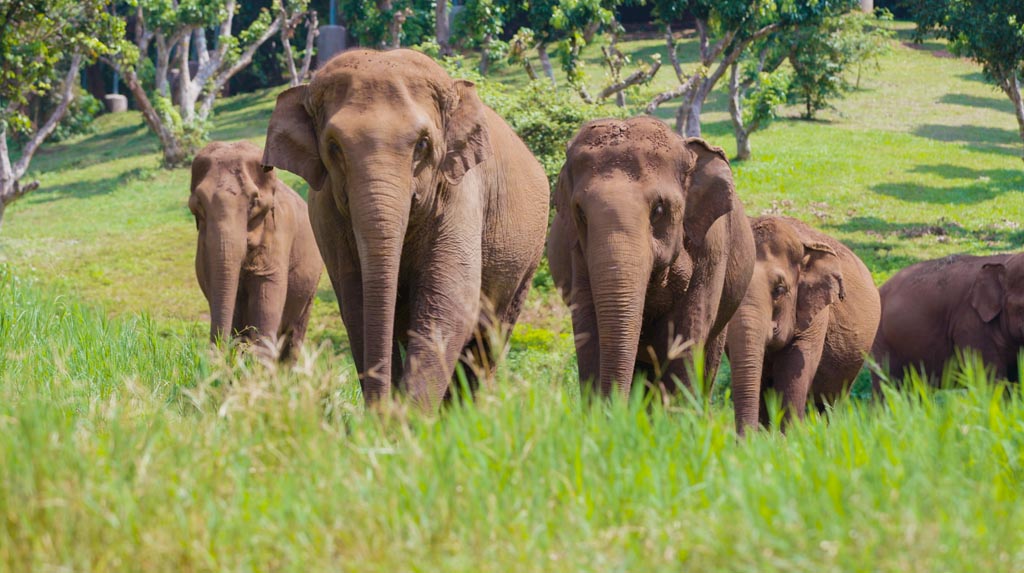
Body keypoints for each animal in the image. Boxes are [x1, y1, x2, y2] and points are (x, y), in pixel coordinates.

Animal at [189, 141, 324, 360]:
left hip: (312, 286)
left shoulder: (279, 233)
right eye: (198, 205)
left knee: (294, 333)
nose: (213, 359)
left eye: (253, 202)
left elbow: (266, 298)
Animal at [261, 49, 550, 408]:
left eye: (423, 144)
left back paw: (463, 412)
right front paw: (391, 415)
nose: (381, 410)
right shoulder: (327, 212)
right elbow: (357, 302)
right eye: (334, 146)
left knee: (489, 335)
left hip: (527, 260)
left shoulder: (461, 192)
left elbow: (450, 298)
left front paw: (408, 418)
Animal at [548, 116, 755, 398]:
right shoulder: (578, 253)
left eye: (658, 209)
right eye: (580, 213)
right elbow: (588, 333)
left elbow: (687, 336)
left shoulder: (712, 248)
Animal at [725, 217, 880, 435]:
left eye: (780, 289)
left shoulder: (817, 313)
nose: (744, 440)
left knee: (830, 402)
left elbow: (794, 371)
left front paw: (788, 438)